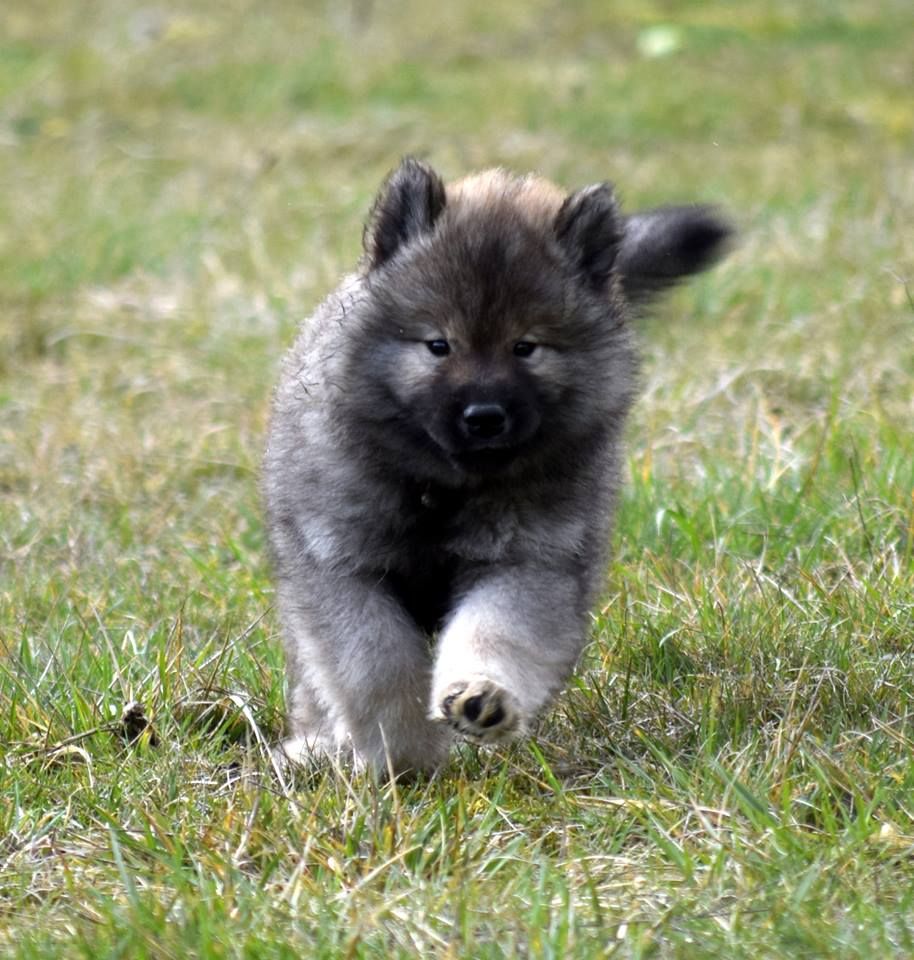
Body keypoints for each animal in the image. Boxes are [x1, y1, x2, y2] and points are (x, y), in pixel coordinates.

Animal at [260, 158, 732, 772]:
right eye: (439, 345)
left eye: (525, 347)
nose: (484, 416)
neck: (444, 487)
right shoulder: (346, 569)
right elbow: (376, 666)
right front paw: (405, 754)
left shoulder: (526, 562)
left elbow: (495, 632)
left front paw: (481, 696)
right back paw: (315, 747)